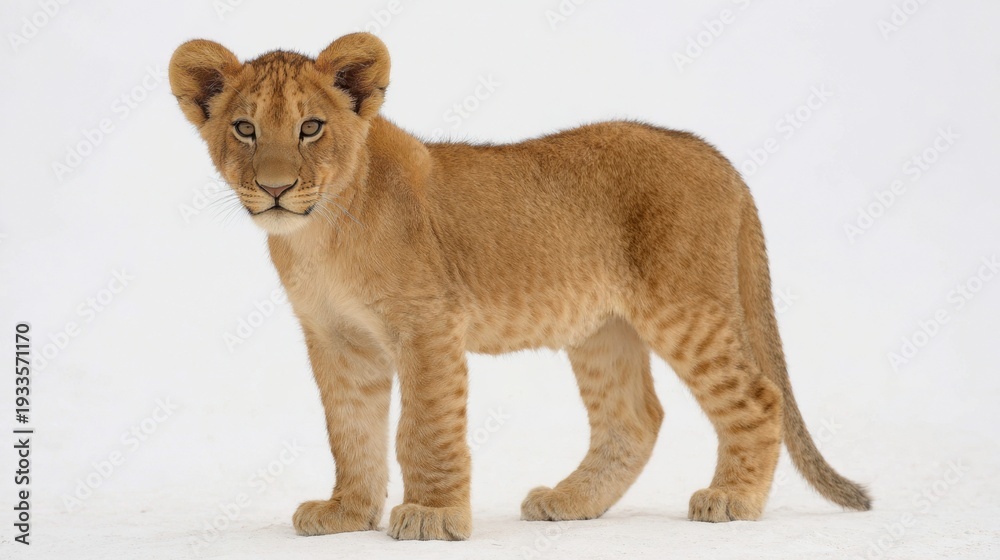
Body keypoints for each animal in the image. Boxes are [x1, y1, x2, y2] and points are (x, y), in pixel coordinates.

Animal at [168, 32, 870, 541]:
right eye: (245, 129)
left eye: (310, 127)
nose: (276, 187)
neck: (320, 236)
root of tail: (718, 157)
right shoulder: (338, 341)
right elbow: (351, 428)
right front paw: (347, 512)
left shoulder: (427, 325)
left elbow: (424, 427)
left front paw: (432, 517)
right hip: (602, 328)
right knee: (634, 418)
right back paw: (570, 501)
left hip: (685, 307)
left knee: (757, 395)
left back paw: (731, 499)